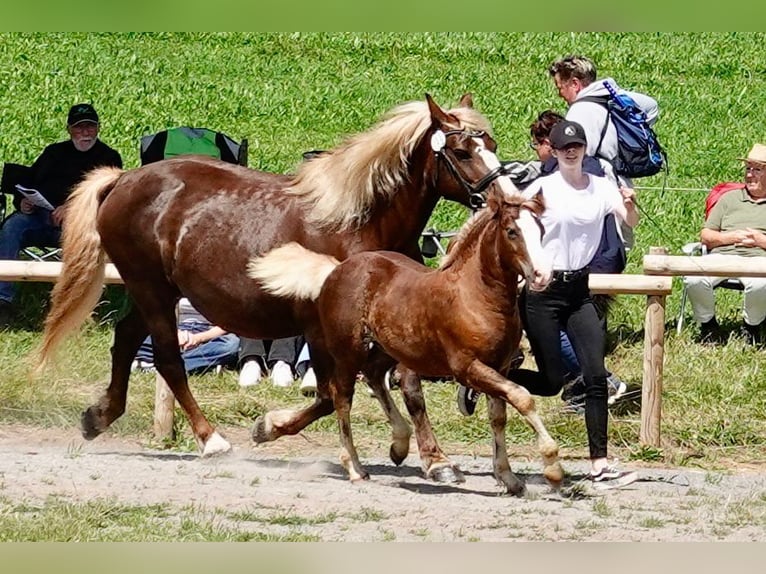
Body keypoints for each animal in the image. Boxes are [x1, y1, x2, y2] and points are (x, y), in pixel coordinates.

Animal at [34, 92, 528, 466]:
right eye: (462, 151)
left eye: (492, 142)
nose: (510, 199)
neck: (357, 223)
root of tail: (123, 179)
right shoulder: (325, 326)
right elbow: (334, 393)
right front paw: (268, 427)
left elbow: (395, 381)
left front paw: (419, 451)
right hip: (152, 291)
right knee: (169, 361)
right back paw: (211, 439)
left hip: (155, 292)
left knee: (124, 340)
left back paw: (98, 417)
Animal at [252, 188, 564, 496]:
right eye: (512, 231)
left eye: (541, 229)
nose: (542, 275)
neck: (475, 296)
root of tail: (337, 268)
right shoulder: (467, 367)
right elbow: (523, 398)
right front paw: (552, 467)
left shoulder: (500, 367)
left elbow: (498, 416)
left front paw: (509, 478)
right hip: (347, 351)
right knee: (342, 398)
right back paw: (355, 468)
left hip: (390, 348)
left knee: (374, 376)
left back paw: (398, 444)